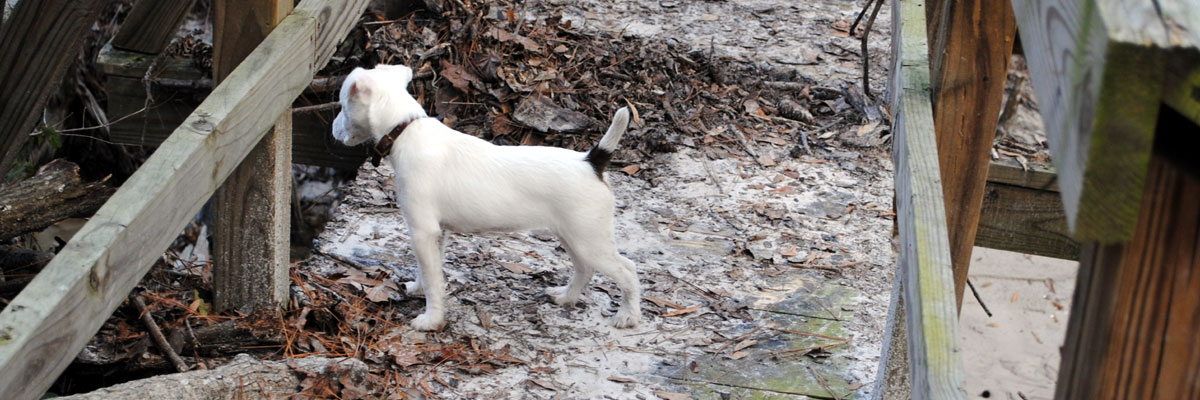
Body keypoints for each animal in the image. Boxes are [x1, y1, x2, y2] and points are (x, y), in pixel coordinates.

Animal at [333, 63, 643, 329]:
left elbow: (433, 280)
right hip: (573, 236)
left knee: (627, 269)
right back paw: (566, 296)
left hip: (590, 239)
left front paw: (431, 320)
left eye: (342, 106)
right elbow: (428, 271)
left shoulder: (422, 231)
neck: (405, 130)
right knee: (585, 269)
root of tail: (592, 162)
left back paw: (628, 315)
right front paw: (418, 289)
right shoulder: (435, 233)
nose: (333, 130)